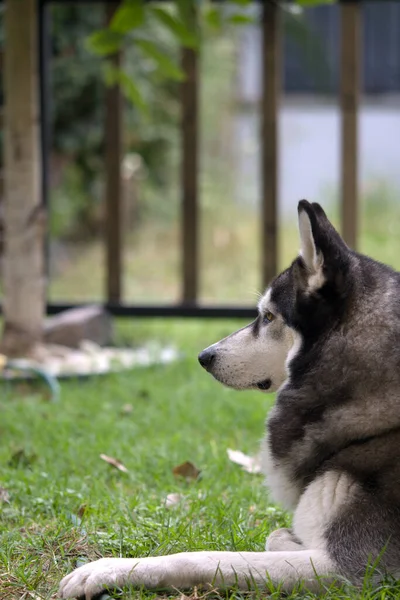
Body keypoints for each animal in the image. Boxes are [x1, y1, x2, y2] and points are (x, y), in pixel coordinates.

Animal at [59, 203, 400, 600]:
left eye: (267, 316)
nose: (204, 357)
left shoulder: (354, 571)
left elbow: (204, 558)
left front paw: (104, 570)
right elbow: (274, 534)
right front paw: (289, 535)